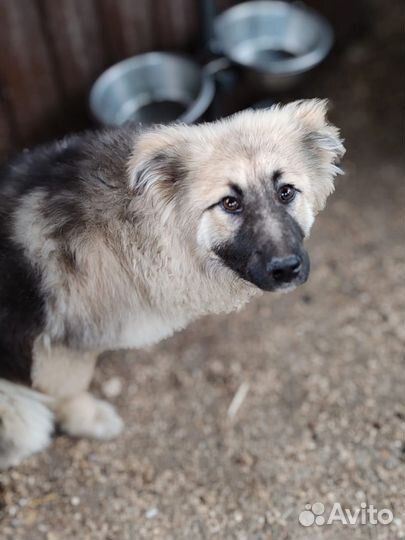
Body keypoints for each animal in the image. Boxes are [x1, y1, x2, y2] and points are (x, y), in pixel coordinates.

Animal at [0, 99, 342, 466]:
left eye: (286, 192)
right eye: (230, 203)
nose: (286, 269)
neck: (129, 226)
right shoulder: (61, 346)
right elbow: (67, 389)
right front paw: (88, 418)